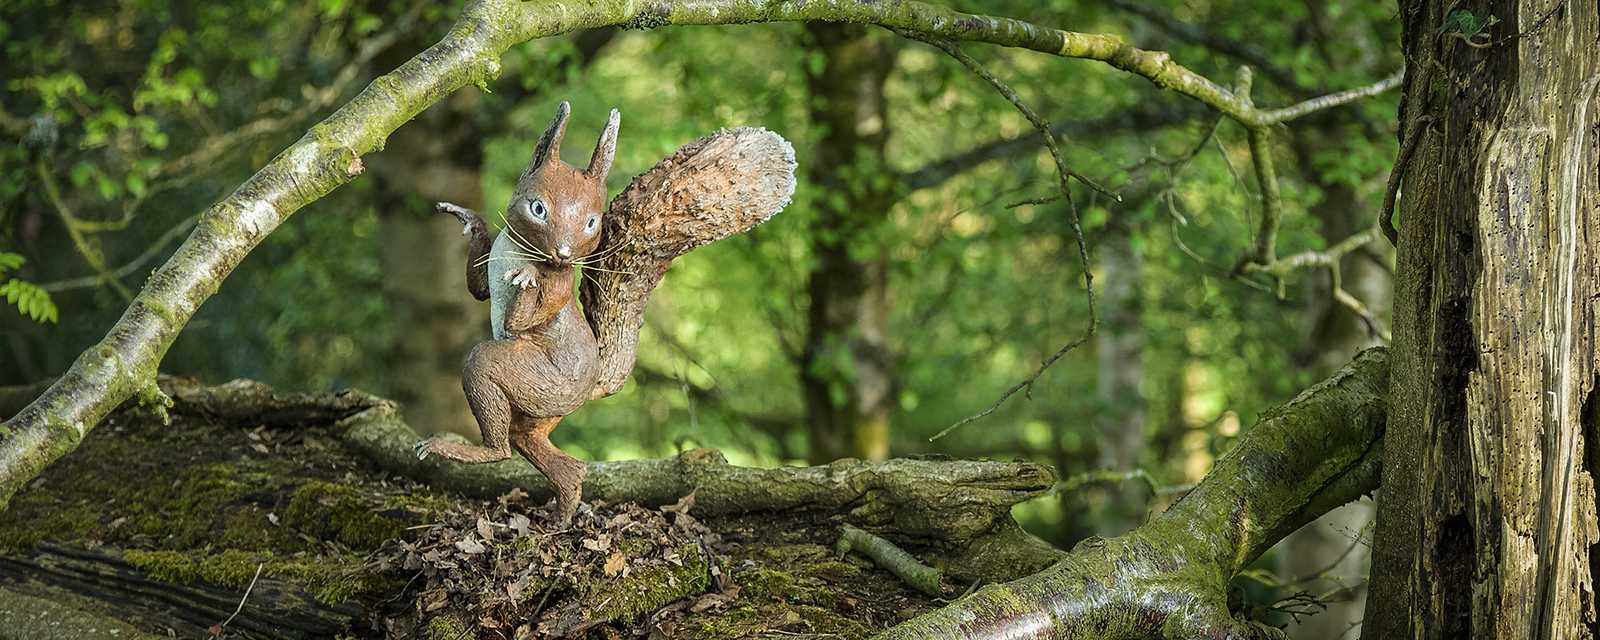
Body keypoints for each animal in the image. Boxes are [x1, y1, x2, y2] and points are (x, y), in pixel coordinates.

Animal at [415, 101, 797, 525]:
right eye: (538, 208)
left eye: (592, 223)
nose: (563, 254)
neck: (523, 249)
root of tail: (594, 383)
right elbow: (479, 289)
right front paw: (470, 221)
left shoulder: (558, 285)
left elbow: (525, 318)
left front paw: (528, 278)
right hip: (537, 411)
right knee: (540, 449)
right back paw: (564, 508)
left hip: (540, 383)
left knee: (495, 404)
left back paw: (487, 459)